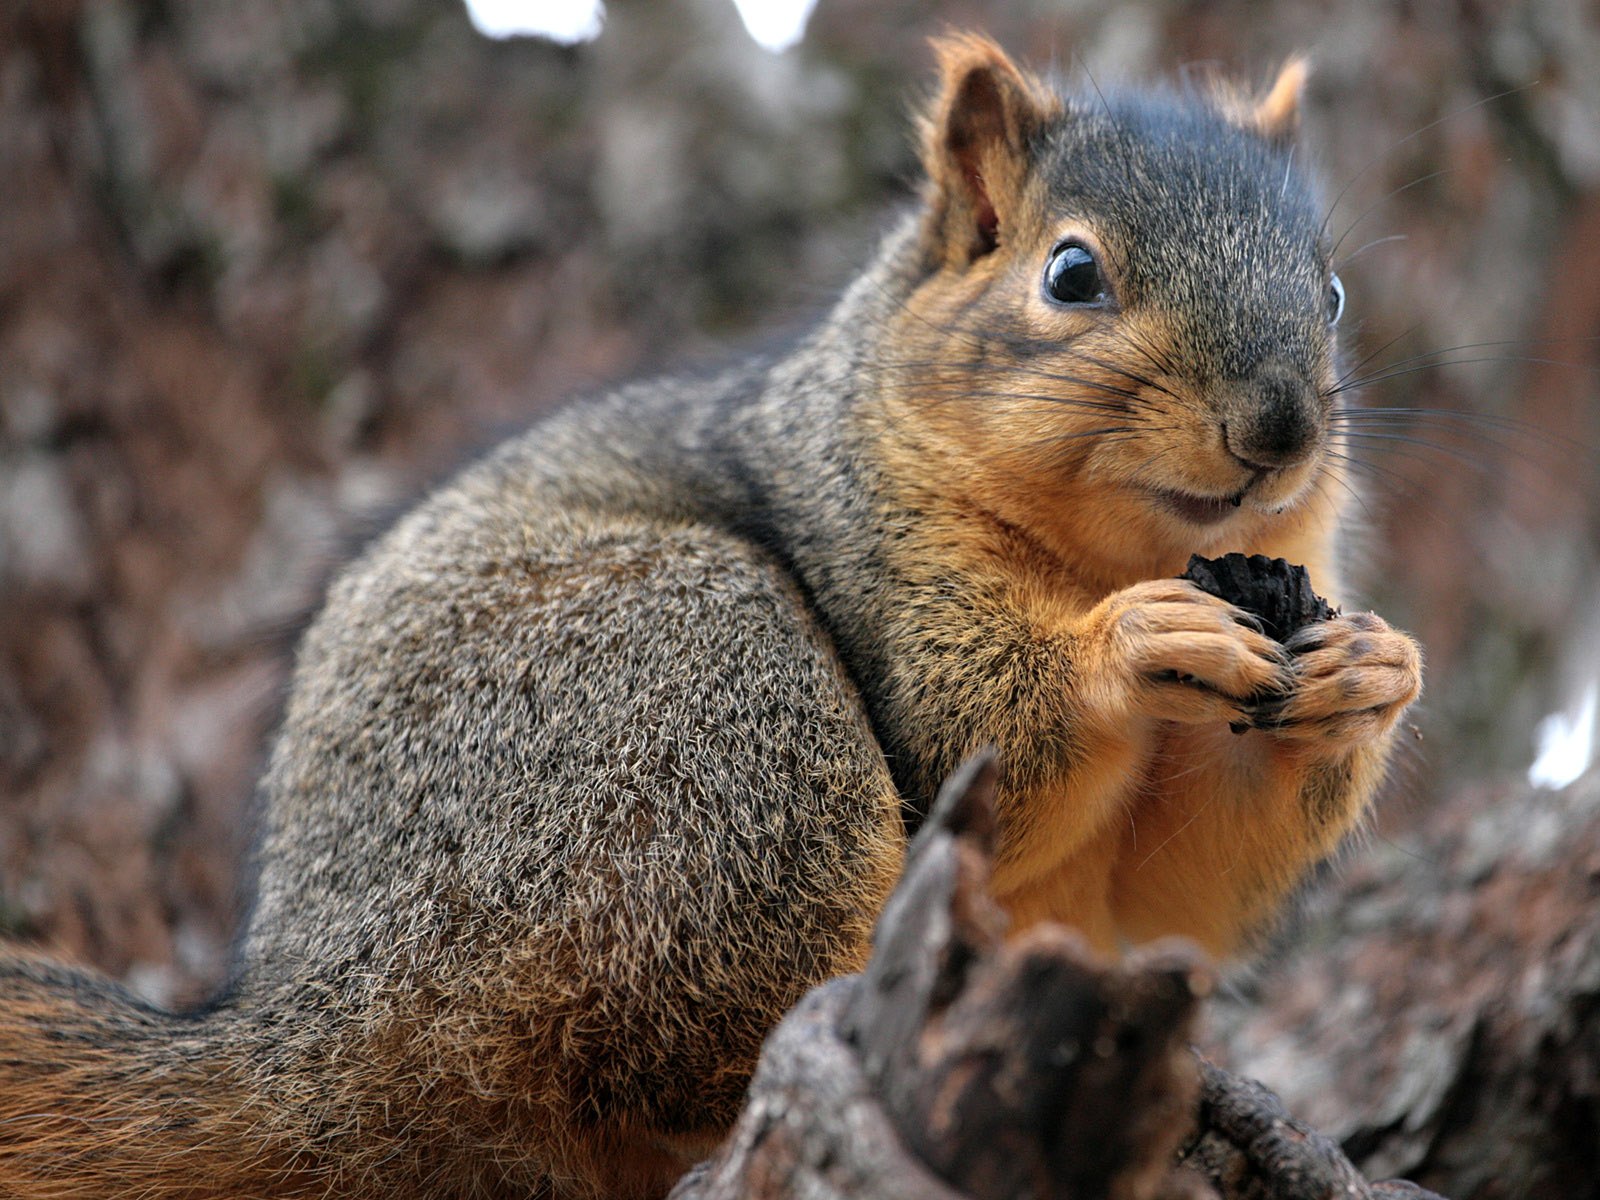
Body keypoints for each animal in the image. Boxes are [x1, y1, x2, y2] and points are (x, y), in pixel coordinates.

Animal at [0, 32, 1427, 1200]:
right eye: (1070, 273)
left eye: (1333, 293)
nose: (1279, 428)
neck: (1118, 554)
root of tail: (325, 1013)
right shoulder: (869, 548)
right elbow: (978, 727)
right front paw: (1132, 648)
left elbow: (1184, 873)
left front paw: (1368, 671)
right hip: (705, 707)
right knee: (694, 1053)